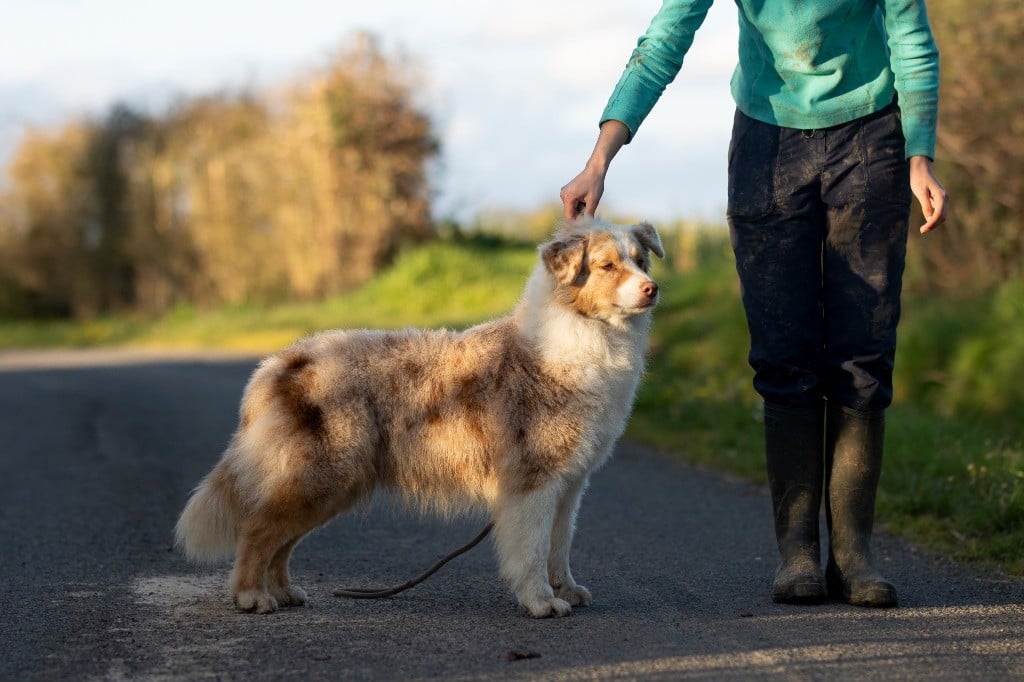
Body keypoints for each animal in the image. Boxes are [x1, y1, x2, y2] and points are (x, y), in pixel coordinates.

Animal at [176, 218, 663, 614]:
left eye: (642, 261)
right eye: (606, 266)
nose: (652, 289)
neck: (582, 334)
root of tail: (280, 363)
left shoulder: (570, 483)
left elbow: (559, 546)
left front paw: (568, 590)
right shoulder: (533, 479)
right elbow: (531, 549)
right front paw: (542, 601)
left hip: (332, 484)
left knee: (282, 539)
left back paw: (282, 591)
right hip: (321, 474)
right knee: (257, 530)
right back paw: (251, 596)